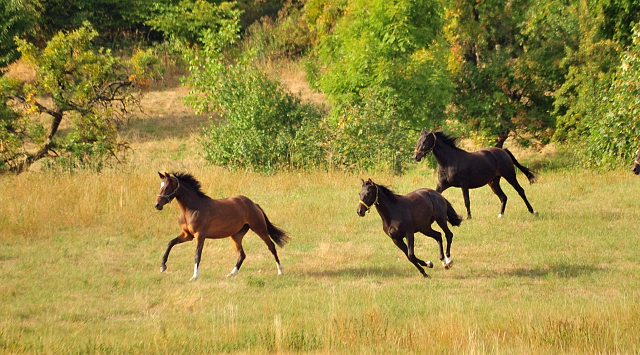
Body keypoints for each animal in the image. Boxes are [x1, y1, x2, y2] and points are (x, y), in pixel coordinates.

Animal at [154, 172, 288, 280]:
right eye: (160, 186)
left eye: (166, 187)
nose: (157, 205)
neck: (192, 208)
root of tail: (253, 204)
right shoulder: (187, 235)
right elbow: (170, 243)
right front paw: (162, 266)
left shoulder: (200, 235)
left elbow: (197, 255)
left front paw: (194, 276)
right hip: (236, 235)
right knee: (242, 254)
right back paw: (232, 273)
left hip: (259, 228)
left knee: (271, 246)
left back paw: (280, 271)